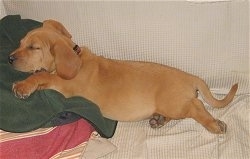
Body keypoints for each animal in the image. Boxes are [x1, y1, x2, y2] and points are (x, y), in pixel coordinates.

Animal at [8, 19, 237, 134]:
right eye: (21, 43)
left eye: (33, 47)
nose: (9, 59)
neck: (77, 59)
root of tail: (191, 77)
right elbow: (42, 75)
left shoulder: (64, 86)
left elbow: (42, 77)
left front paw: (22, 86)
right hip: (171, 104)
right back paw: (159, 120)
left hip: (174, 102)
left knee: (196, 107)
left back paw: (214, 124)